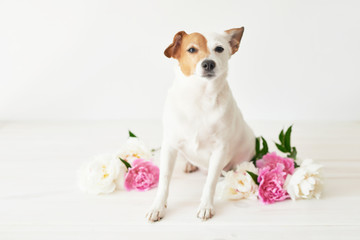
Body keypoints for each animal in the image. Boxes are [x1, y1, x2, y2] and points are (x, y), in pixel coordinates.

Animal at [146, 27, 256, 221]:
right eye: (191, 49)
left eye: (219, 49)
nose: (208, 64)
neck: (199, 97)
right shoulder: (169, 146)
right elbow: (164, 180)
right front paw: (158, 206)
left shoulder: (220, 150)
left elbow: (210, 182)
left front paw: (206, 206)